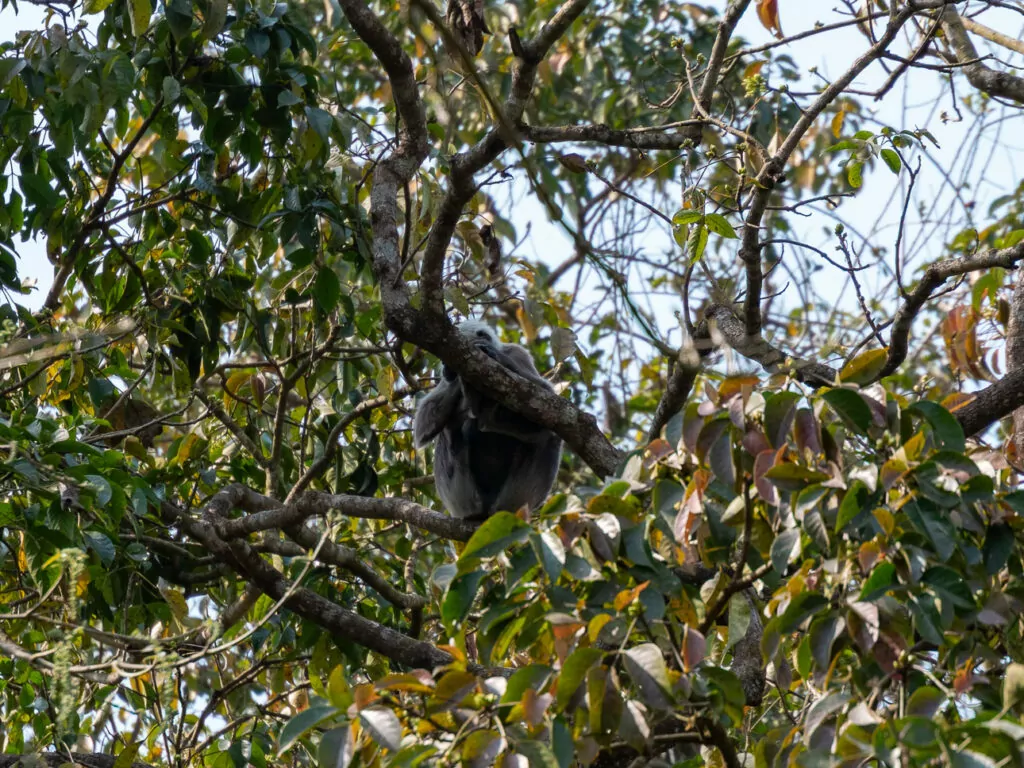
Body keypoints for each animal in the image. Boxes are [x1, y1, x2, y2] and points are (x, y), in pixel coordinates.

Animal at [413, 321, 562, 522]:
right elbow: (422, 426)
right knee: (450, 429)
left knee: (550, 434)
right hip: (459, 495)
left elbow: (547, 398)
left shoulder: (518, 353)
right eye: (444, 360)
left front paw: (494, 356)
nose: (445, 368)